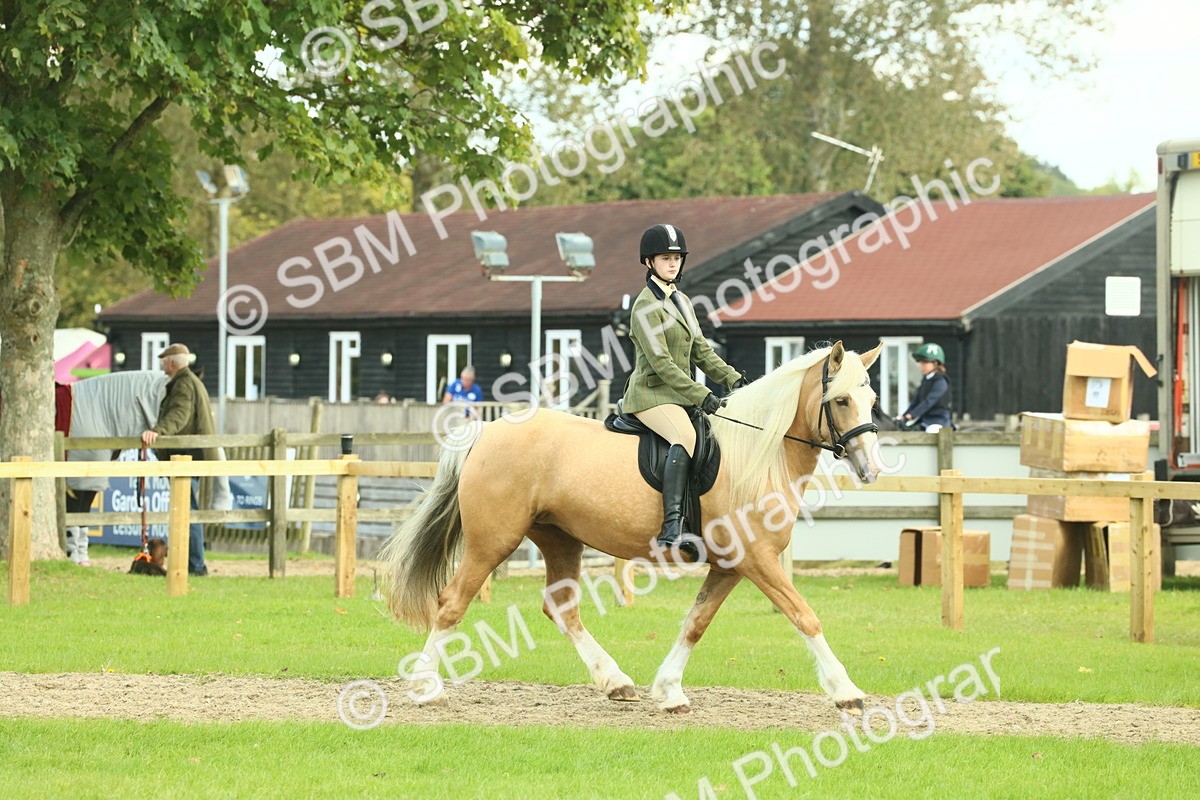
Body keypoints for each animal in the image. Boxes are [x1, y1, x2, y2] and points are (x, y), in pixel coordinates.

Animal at [382, 341, 884, 714]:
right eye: (841, 400)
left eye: (873, 400)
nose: (872, 468)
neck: (758, 454)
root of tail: (487, 431)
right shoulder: (757, 559)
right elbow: (804, 615)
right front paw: (846, 691)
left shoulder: (731, 565)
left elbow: (696, 623)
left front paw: (669, 691)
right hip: (493, 542)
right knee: (451, 603)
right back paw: (426, 687)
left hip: (559, 538)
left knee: (561, 608)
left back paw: (615, 681)